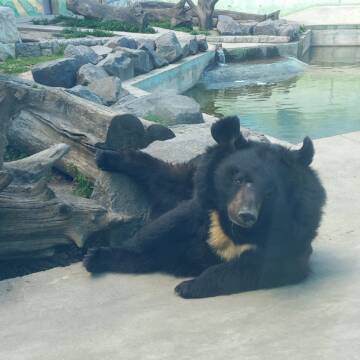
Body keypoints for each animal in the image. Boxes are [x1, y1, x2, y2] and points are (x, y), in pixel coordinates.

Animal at [83, 116, 326, 300]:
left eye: (270, 192)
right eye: (238, 179)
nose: (246, 215)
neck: (232, 227)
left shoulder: (294, 230)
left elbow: (259, 267)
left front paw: (188, 286)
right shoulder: (203, 205)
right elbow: (162, 229)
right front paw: (96, 256)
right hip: (195, 173)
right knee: (166, 177)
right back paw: (107, 156)